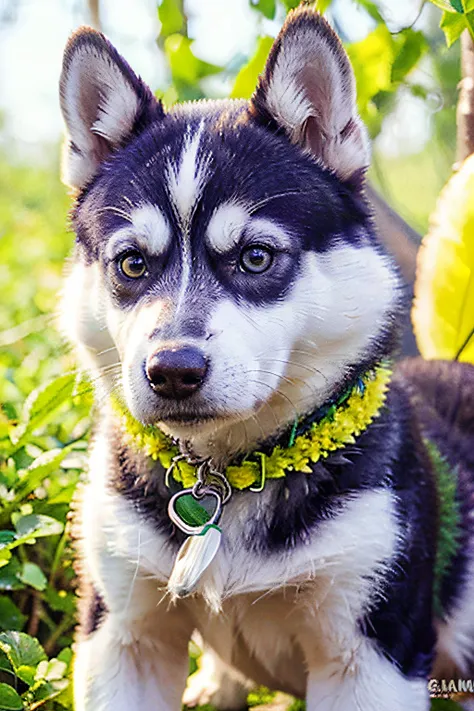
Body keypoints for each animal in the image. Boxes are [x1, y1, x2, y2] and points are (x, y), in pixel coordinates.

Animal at [58, 6, 474, 711]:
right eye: (132, 264)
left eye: (255, 257)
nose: (172, 371)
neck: (228, 476)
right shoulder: (124, 638)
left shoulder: (368, 659)